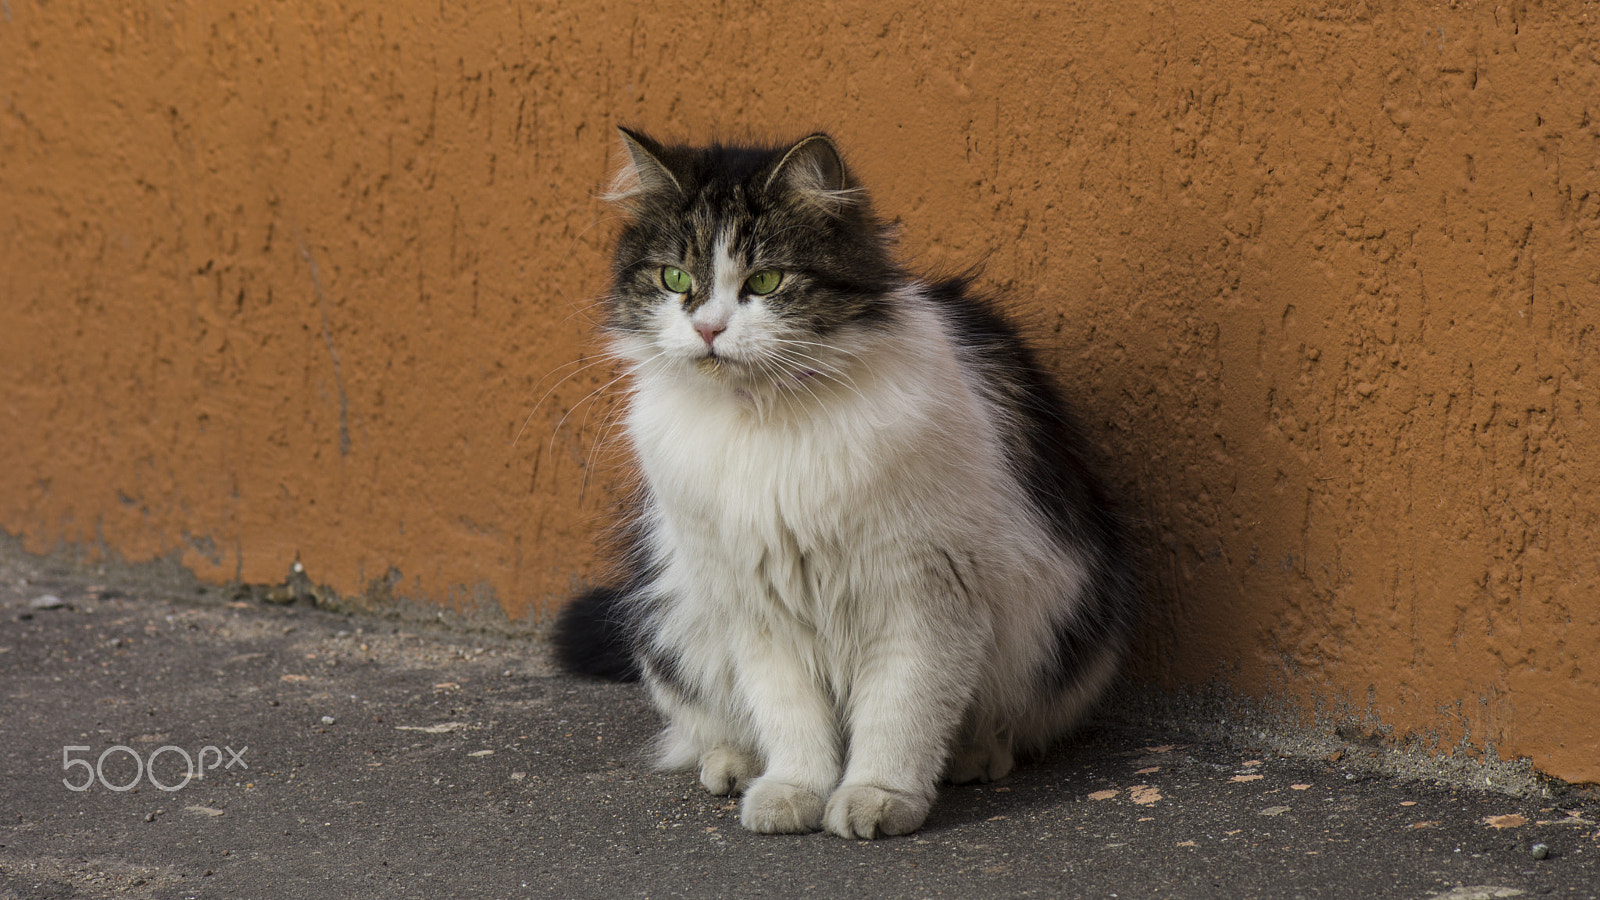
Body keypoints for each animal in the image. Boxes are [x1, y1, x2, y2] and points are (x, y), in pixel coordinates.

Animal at [553, 126, 1139, 832]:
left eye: (765, 280)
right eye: (674, 278)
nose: (708, 328)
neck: (768, 420)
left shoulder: (923, 593)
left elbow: (899, 714)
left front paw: (877, 799)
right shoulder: (759, 604)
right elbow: (791, 720)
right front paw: (792, 793)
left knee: (1002, 722)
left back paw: (975, 756)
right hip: (675, 622)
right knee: (706, 725)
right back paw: (733, 767)